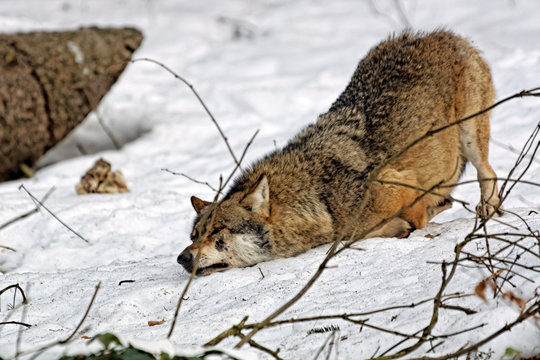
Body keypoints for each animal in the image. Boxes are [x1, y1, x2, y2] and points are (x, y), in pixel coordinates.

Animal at [177, 31, 502, 276]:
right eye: (194, 236)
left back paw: (488, 209)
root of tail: (444, 35)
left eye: (217, 231)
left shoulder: (399, 181)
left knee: (489, 173)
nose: (182, 258)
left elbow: (403, 219)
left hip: (471, 138)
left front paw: (407, 222)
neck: (319, 200)